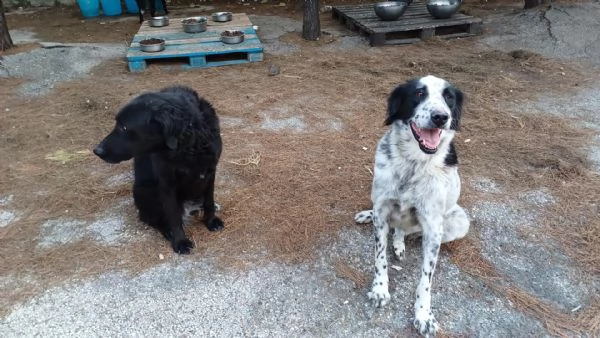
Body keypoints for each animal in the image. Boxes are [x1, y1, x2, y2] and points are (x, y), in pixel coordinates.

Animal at [92, 85, 224, 254]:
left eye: (124, 127)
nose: (97, 151)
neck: (188, 146)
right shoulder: (166, 183)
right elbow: (173, 216)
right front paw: (180, 241)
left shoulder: (210, 171)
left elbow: (209, 201)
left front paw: (211, 221)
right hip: (145, 189)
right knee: (149, 217)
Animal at [356, 75, 468, 336]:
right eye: (419, 93)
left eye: (449, 97)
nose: (441, 117)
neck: (414, 163)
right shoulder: (382, 210)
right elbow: (380, 259)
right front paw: (380, 289)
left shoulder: (433, 227)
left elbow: (425, 281)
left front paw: (423, 315)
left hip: (459, 221)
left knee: (406, 231)